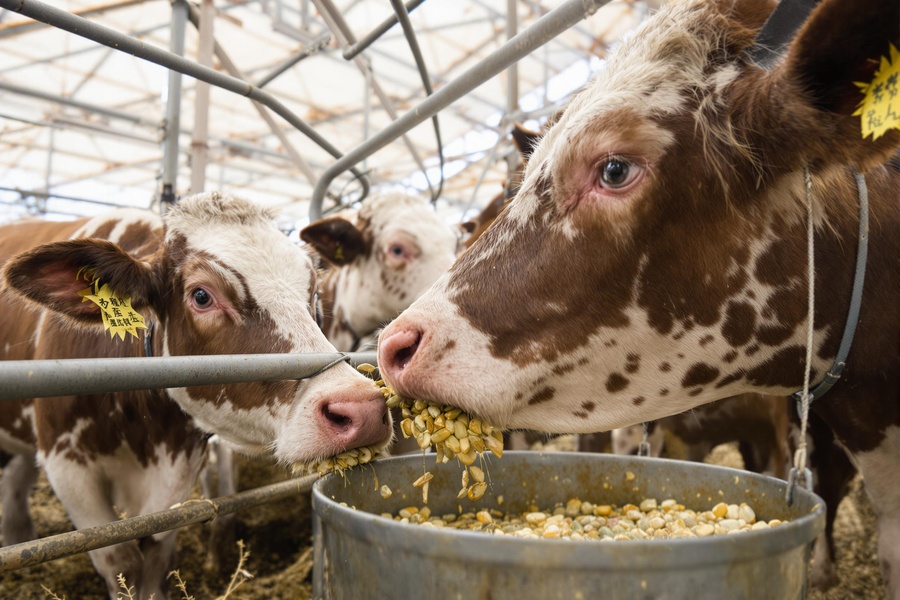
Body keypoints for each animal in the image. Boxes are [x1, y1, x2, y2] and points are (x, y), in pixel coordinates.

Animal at [0, 193, 394, 600]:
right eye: (202, 295)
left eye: (313, 295)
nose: (361, 408)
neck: (141, 428)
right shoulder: (67, 467)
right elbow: (120, 562)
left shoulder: (178, 468)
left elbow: (155, 557)